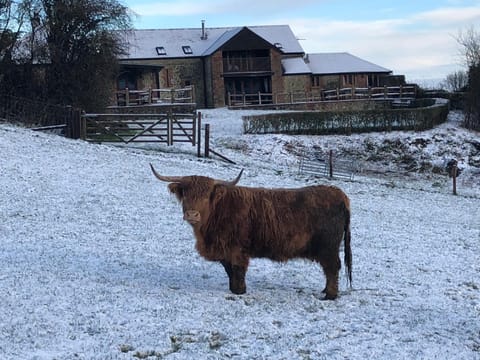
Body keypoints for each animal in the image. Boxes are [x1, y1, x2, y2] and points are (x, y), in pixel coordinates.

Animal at [150, 165, 352, 300]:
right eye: (185, 194)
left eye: (207, 195)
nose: (192, 214)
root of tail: (339, 194)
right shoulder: (224, 251)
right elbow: (229, 270)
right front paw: (233, 288)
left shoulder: (238, 250)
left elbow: (238, 270)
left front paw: (239, 291)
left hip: (328, 247)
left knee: (333, 267)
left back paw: (330, 295)